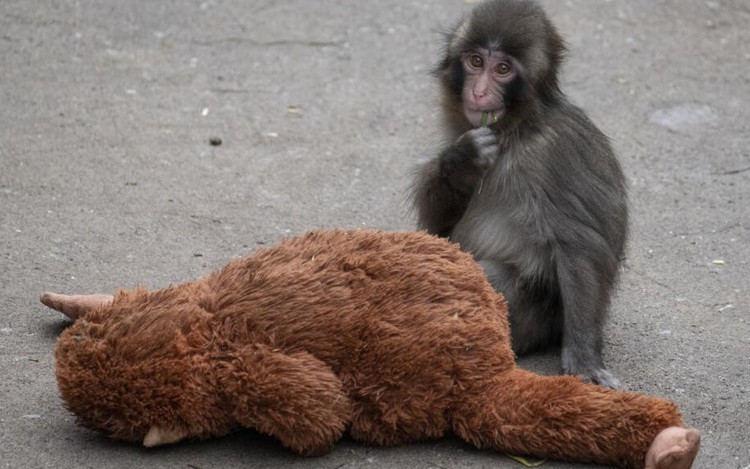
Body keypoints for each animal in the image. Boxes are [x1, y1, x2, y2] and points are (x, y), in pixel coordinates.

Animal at [412, 0, 628, 388]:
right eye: (476, 62)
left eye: (502, 69)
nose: (479, 92)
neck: (516, 131)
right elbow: (436, 231)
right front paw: (461, 162)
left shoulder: (552, 154)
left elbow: (580, 245)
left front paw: (585, 359)